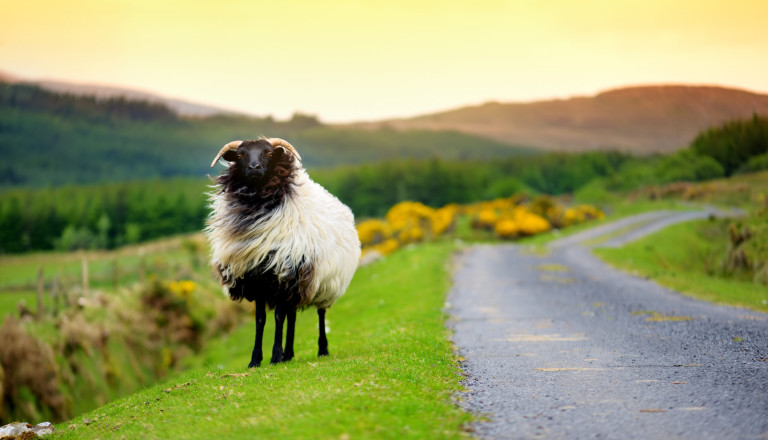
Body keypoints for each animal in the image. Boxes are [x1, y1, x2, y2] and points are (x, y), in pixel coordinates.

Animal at [204, 138, 360, 368]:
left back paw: (322, 349)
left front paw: (275, 356)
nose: (254, 168)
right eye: (240, 155)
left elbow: (278, 317)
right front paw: (256, 360)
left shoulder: (282, 275)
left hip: (325, 282)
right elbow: (261, 320)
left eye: (269, 154)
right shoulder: (257, 279)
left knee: (320, 313)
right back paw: (289, 353)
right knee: (292, 315)